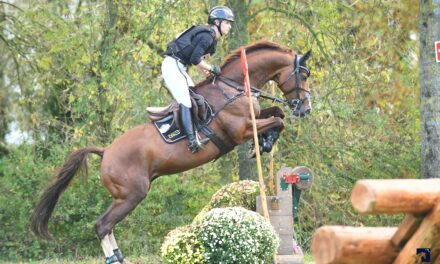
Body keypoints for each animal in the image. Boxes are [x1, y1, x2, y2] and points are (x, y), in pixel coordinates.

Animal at [30, 40, 312, 262]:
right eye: (304, 75)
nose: (306, 109)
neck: (231, 88)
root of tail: (106, 151)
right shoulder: (240, 131)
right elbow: (277, 120)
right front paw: (263, 143)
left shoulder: (253, 120)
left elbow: (277, 113)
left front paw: (264, 142)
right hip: (132, 194)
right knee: (102, 225)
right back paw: (115, 258)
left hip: (122, 196)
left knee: (106, 226)